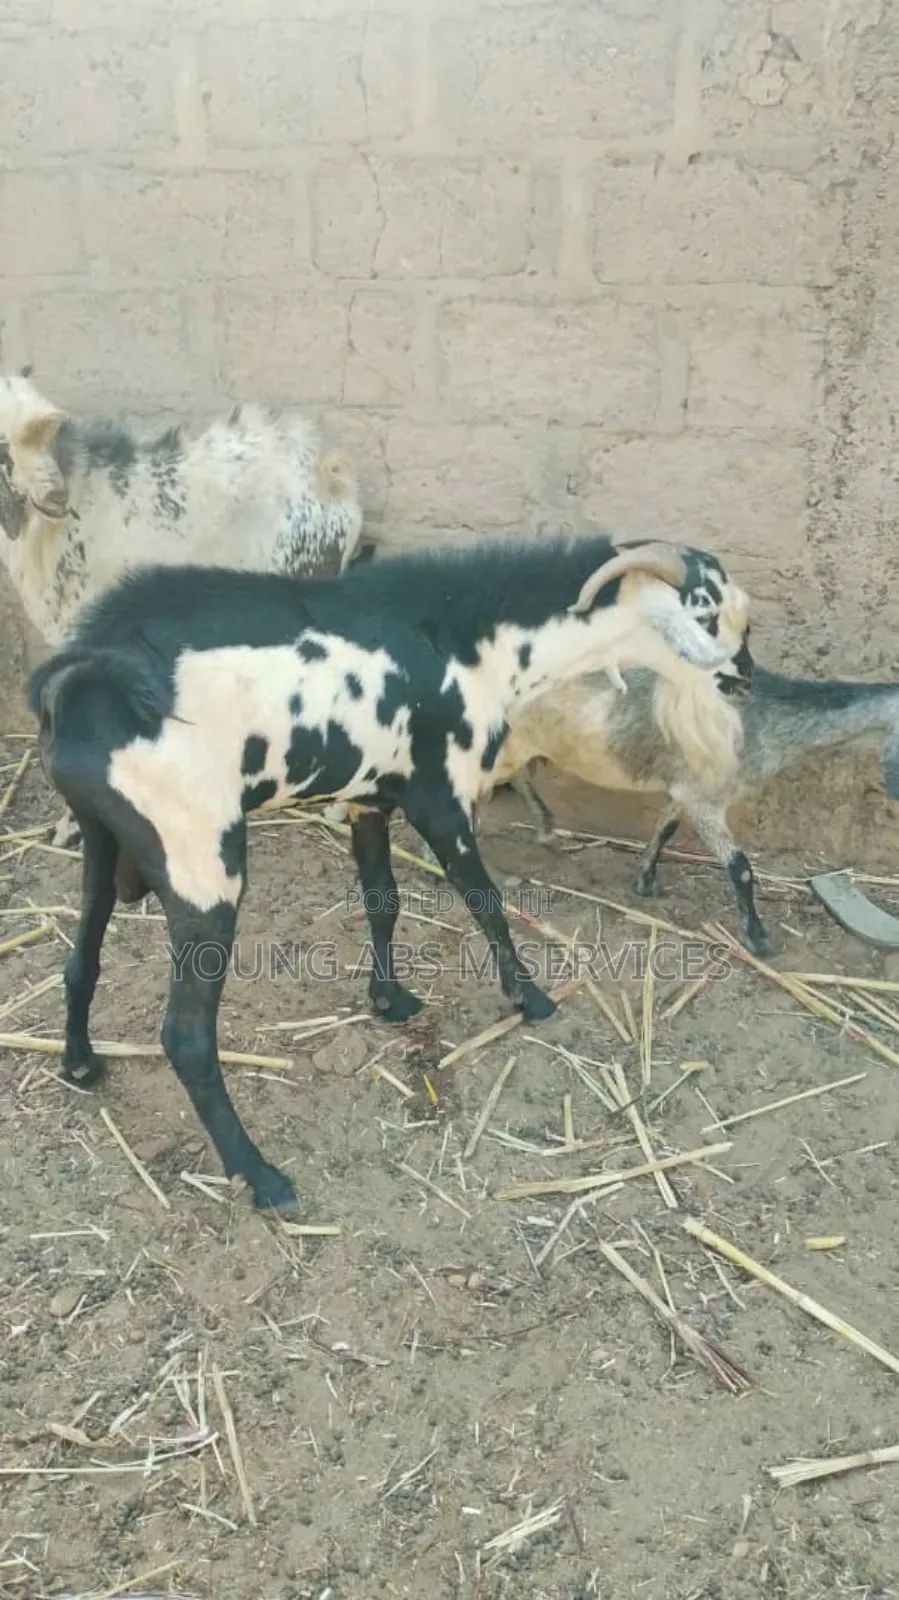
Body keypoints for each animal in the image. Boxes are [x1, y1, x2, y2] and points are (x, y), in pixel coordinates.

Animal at [28, 533, 752, 1213]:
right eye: (704, 610)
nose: (743, 679)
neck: (470, 640)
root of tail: (84, 674)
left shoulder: (370, 797)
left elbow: (383, 899)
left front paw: (390, 999)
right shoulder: (440, 795)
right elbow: (484, 899)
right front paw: (532, 999)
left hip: (101, 835)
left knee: (81, 959)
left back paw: (80, 1063)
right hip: (201, 856)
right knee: (186, 1037)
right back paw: (261, 1177)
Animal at [489, 662, 899, 959]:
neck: (763, 718)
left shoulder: (686, 789)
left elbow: (666, 827)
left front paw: (645, 881)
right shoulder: (705, 799)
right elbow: (742, 868)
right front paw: (757, 939)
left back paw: (546, 829)